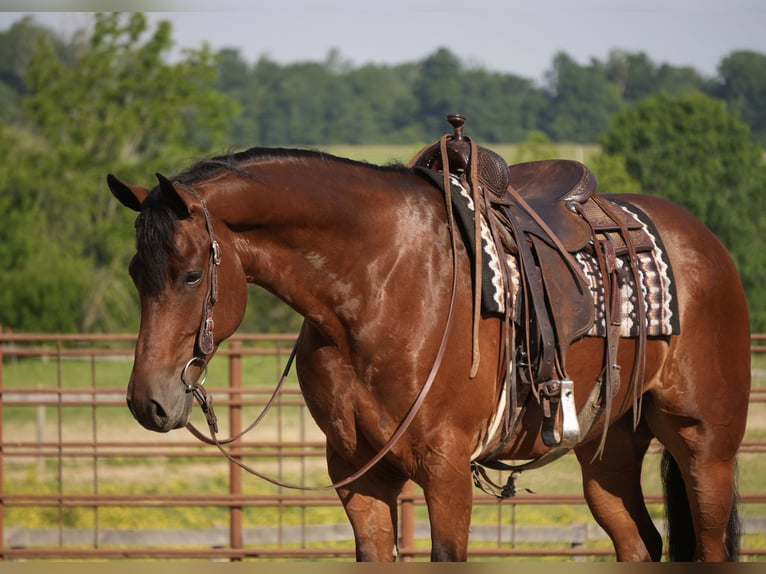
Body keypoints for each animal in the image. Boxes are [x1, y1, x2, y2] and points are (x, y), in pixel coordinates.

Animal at [108, 141, 750, 562]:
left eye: (192, 275)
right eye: (137, 274)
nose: (148, 402)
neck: (379, 283)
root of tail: (707, 245)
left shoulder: (446, 472)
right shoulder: (358, 477)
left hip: (705, 447)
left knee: (710, 541)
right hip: (608, 451)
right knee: (639, 541)